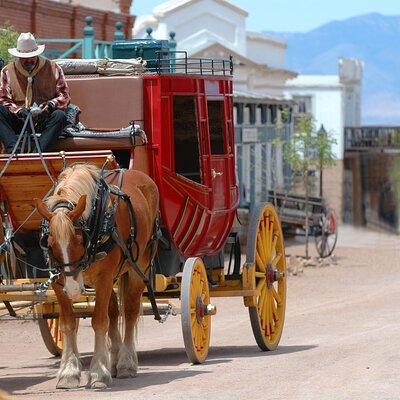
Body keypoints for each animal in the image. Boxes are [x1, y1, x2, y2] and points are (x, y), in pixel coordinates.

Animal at [34, 164, 159, 390]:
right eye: (50, 243)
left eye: (78, 240)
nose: (74, 289)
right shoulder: (58, 280)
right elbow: (68, 323)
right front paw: (69, 372)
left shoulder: (104, 277)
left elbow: (99, 321)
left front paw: (99, 373)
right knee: (114, 312)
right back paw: (114, 360)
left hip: (139, 266)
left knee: (129, 311)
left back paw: (126, 363)